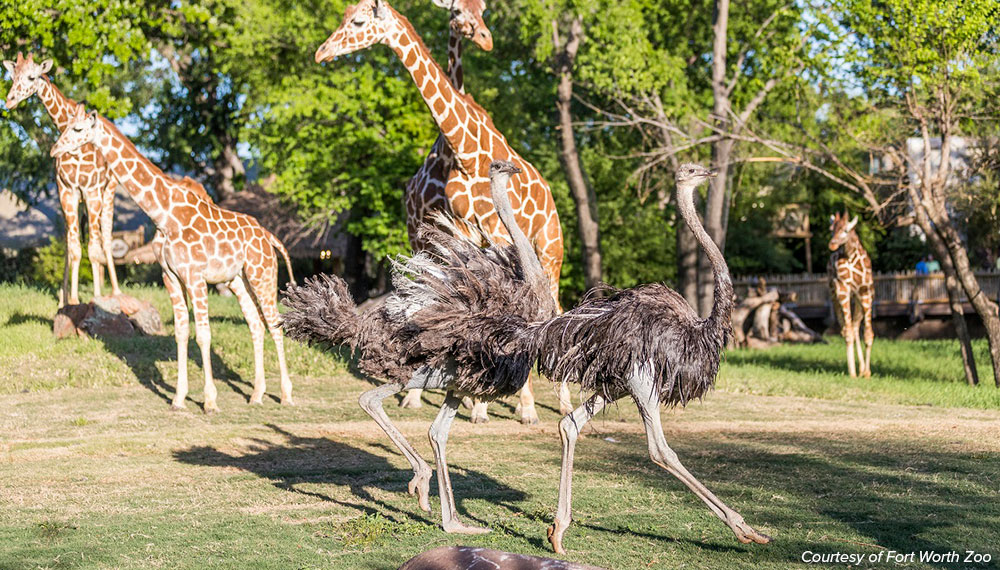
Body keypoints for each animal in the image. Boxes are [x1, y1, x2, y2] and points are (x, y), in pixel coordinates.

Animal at [2, 52, 120, 302]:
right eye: (12, 76)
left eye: (32, 76)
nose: (9, 100)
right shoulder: (66, 191)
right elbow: (73, 248)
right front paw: (71, 300)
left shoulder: (92, 191)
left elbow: (93, 248)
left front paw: (96, 299)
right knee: (75, 240)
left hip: (108, 192)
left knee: (105, 238)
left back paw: (115, 291)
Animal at [51, 104, 296, 410]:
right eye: (65, 126)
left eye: (78, 129)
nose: (54, 150)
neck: (164, 215)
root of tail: (270, 237)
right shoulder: (171, 276)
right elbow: (182, 333)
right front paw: (179, 398)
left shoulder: (194, 276)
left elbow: (203, 334)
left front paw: (209, 401)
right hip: (239, 280)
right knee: (255, 324)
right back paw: (256, 394)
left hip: (263, 274)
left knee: (274, 324)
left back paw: (286, 395)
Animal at [320, 0, 572, 422]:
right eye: (456, 11)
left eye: (357, 21)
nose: (322, 51)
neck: (462, 152)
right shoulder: (452, 233)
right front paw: (469, 401)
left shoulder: (493, 235)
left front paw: (512, 405)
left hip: (551, 248)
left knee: (554, 305)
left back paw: (553, 401)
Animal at [828, 211, 876, 374]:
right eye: (831, 229)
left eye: (846, 230)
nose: (832, 244)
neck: (851, 256)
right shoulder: (842, 290)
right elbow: (847, 331)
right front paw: (852, 372)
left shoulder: (865, 292)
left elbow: (868, 334)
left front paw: (866, 372)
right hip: (835, 296)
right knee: (846, 328)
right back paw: (857, 369)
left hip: (859, 300)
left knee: (855, 326)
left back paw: (861, 368)